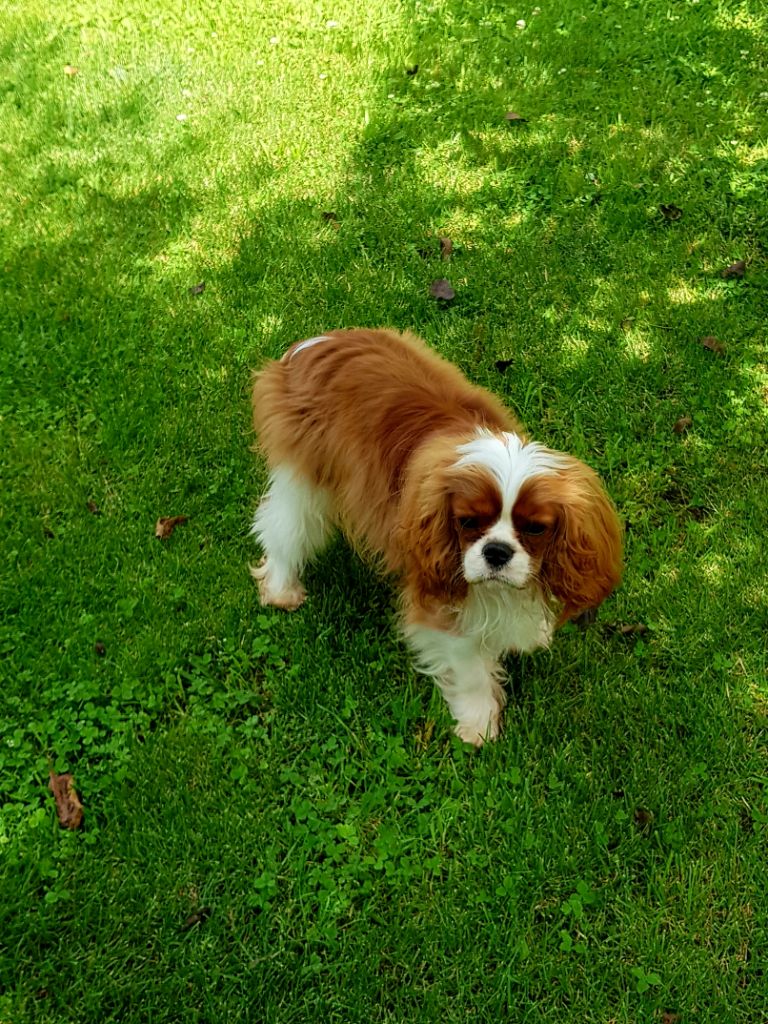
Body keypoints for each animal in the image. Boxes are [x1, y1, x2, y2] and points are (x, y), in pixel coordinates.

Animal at [252, 331, 626, 749]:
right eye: (467, 522)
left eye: (535, 528)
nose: (497, 552)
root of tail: (314, 343)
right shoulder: (436, 591)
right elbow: (470, 665)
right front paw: (479, 722)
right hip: (306, 482)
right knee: (283, 530)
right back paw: (282, 590)